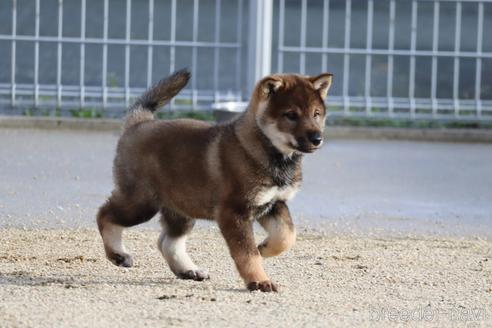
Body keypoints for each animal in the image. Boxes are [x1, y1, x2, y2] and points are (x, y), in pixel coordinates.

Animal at [96, 69, 334, 292]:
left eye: (316, 114)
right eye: (291, 115)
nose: (317, 139)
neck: (265, 150)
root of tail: (139, 124)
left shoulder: (273, 203)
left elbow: (287, 234)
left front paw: (265, 248)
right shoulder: (234, 212)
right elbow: (247, 254)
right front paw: (259, 280)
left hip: (181, 207)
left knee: (167, 242)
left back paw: (188, 270)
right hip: (141, 202)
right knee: (104, 214)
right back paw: (118, 254)